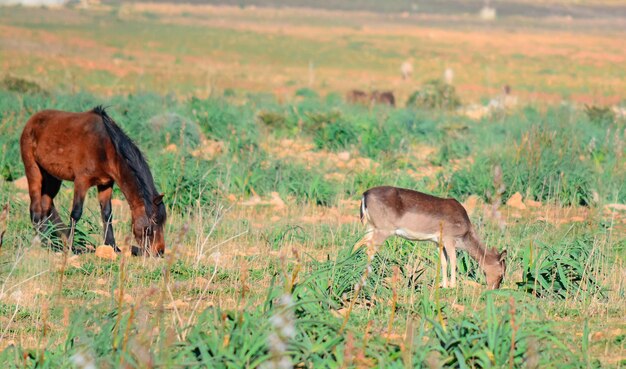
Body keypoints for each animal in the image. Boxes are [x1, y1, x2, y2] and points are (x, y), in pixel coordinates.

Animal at [19, 106, 167, 254]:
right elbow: (76, 213)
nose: (159, 251)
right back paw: (41, 241)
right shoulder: (81, 182)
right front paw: (70, 246)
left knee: (46, 206)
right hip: (33, 170)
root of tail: (31, 121)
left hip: (53, 178)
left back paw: (50, 241)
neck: (104, 148)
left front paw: (113, 246)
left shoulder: (106, 184)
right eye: (154, 221)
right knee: (35, 208)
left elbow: (107, 214)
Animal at [354, 185, 504, 288]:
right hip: (383, 229)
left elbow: (443, 262)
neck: (465, 233)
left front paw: (444, 285)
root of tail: (365, 194)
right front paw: (453, 286)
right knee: (370, 249)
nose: (494, 288)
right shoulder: (449, 238)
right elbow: (453, 261)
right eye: (502, 273)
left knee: (358, 244)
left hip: (371, 226)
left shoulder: (438, 242)